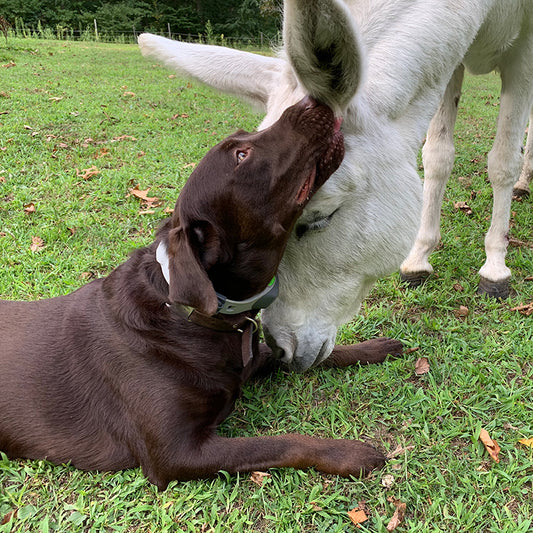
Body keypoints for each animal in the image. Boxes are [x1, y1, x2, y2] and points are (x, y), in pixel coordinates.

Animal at [0, 97, 400, 488]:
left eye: (244, 140)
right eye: (241, 155)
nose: (313, 98)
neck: (187, 315)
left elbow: (314, 357)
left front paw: (373, 348)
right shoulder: (178, 455)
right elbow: (281, 442)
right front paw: (347, 453)